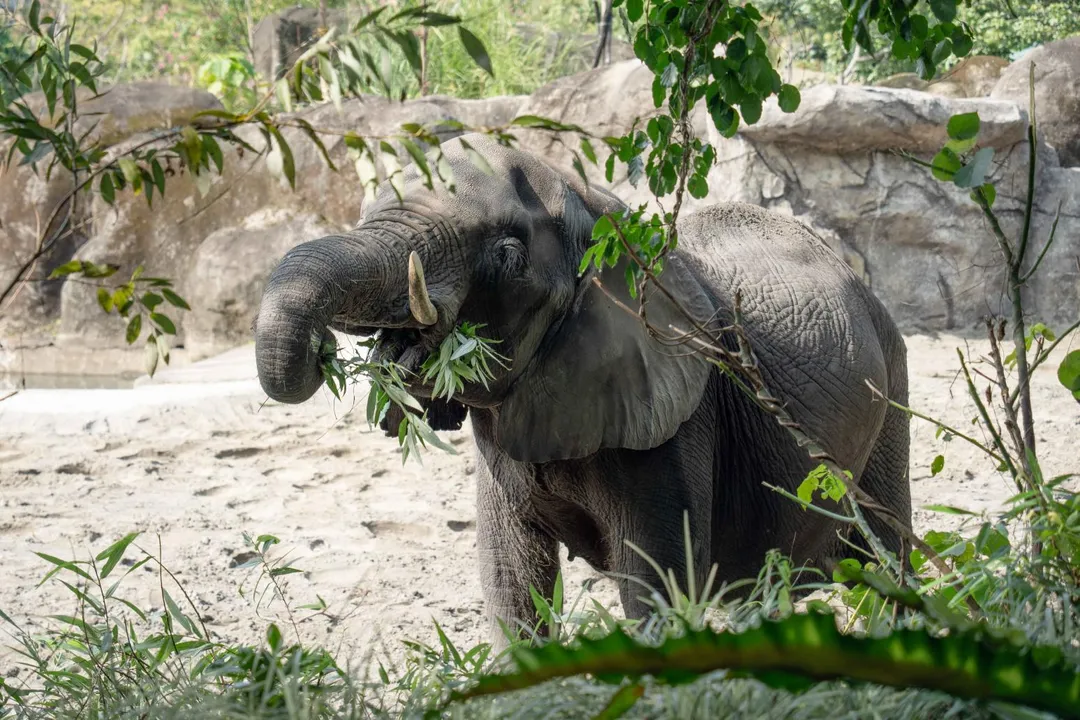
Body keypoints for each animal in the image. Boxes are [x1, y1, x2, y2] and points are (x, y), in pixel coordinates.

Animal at [253, 132, 911, 647]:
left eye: (507, 254)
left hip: (892, 385)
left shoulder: (676, 417)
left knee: (888, 556)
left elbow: (654, 588)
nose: (322, 351)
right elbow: (511, 580)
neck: (594, 204)